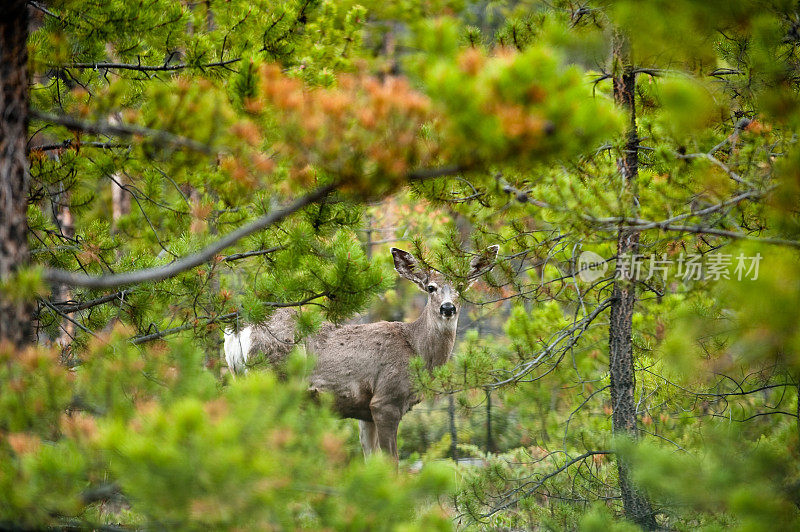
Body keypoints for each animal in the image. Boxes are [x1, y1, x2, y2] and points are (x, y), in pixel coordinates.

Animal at [223, 245, 500, 462]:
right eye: (431, 287)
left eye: (461, 286)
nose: (448, 308)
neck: (417, 350)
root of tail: (239, 330)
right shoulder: (386, 401)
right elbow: (392, 464)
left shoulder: (364, 412)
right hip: (274, 377)